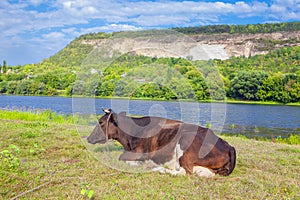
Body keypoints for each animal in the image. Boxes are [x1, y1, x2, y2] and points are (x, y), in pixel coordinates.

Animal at [87, 108, 237, 177]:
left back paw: (157, 168)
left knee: (184, 172)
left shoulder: (140, 152)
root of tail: (229, 145)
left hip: (185, 143)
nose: (89, 138)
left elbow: (121, 157)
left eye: (101, 122)